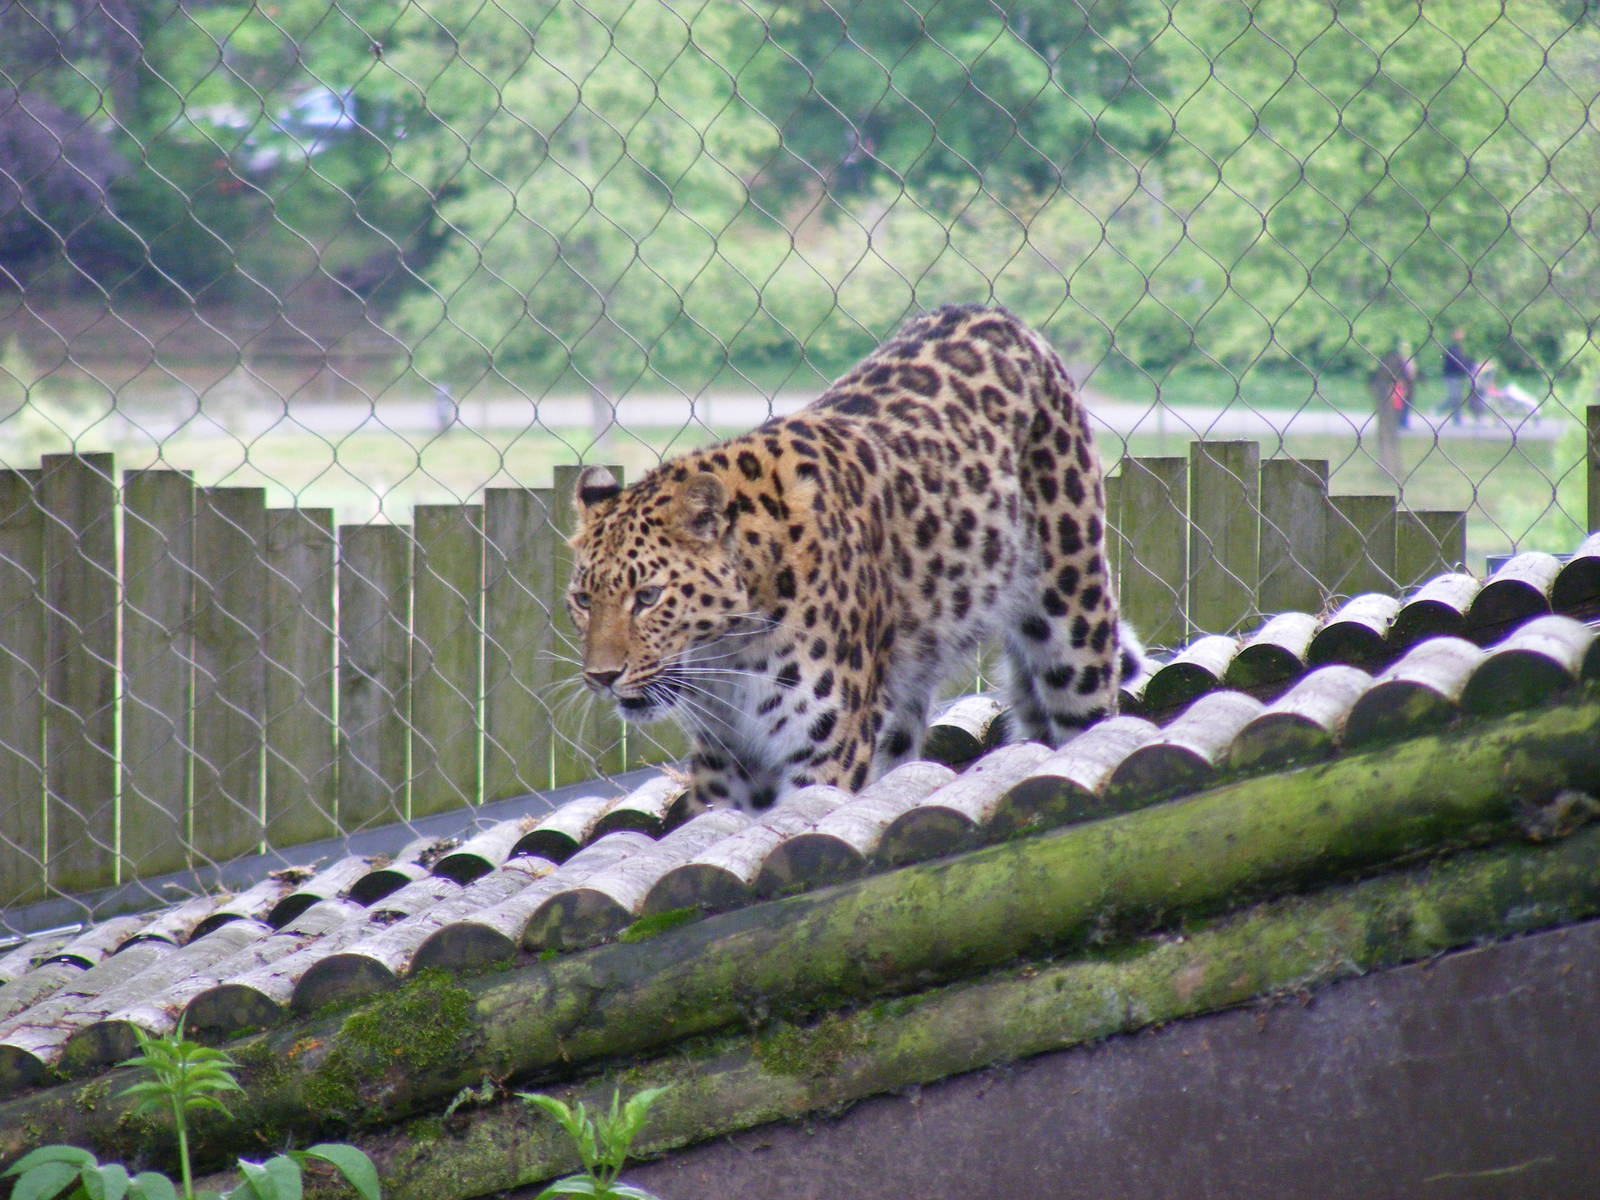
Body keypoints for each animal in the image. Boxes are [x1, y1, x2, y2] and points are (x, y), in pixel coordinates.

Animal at [566, 304, 1147, 812]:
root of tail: (997, 315)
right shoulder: (727, 762)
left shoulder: (826, 748)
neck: (727, 657)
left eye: (648, 597)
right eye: (582, 600)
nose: (601, 677)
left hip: (1073, 624)